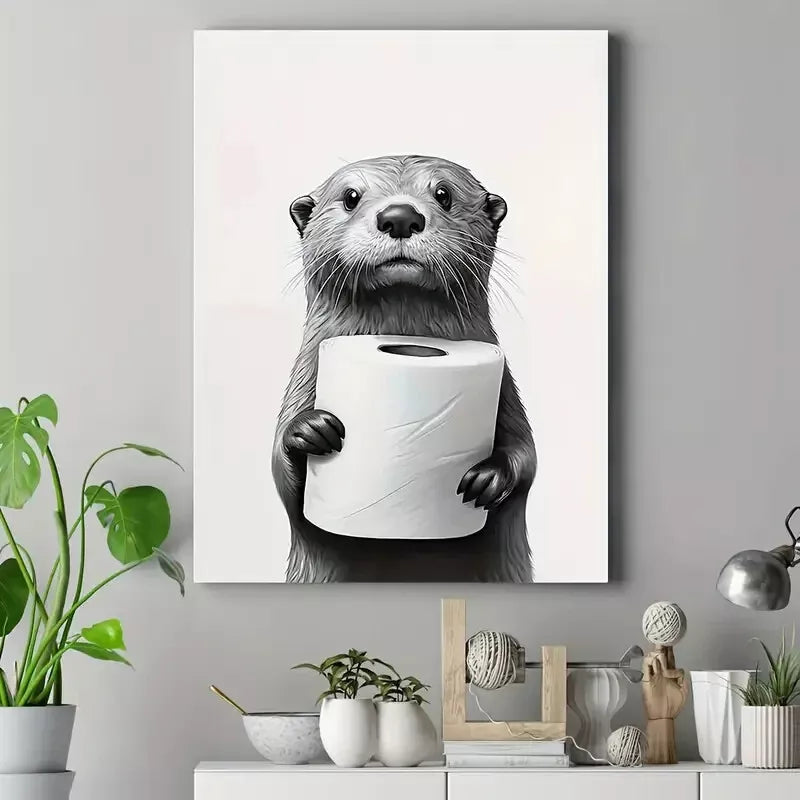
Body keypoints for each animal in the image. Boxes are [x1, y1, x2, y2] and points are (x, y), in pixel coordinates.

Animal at [272, 155, 536, 582]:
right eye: (350, 196)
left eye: (444, 193)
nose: (399, 216)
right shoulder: (303, 380)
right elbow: (283, 478)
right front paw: (309, 430)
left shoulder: (506, 392)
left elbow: (527, 458)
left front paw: (489, 478)